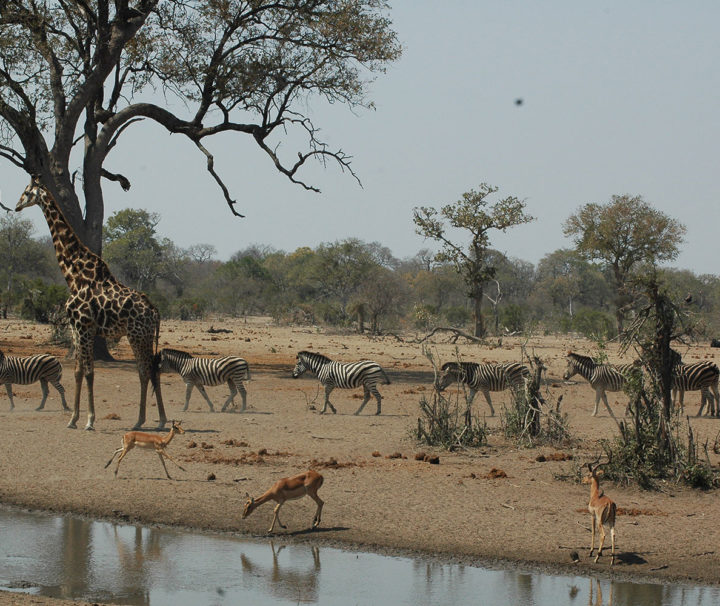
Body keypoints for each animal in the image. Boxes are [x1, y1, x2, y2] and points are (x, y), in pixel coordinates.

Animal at [16, 176, 166, 432]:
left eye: (26, 192)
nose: (16, 206)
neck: (73, 276)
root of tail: (155, 312)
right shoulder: (77, 328)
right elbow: (77, 372)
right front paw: (72, 419)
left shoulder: (85, 327)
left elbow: (89, 372)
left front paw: (89, 420)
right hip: (142, 336)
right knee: (150, 370)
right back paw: (154, 420)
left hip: (138, 335)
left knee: (146, 370)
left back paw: (145, 420)